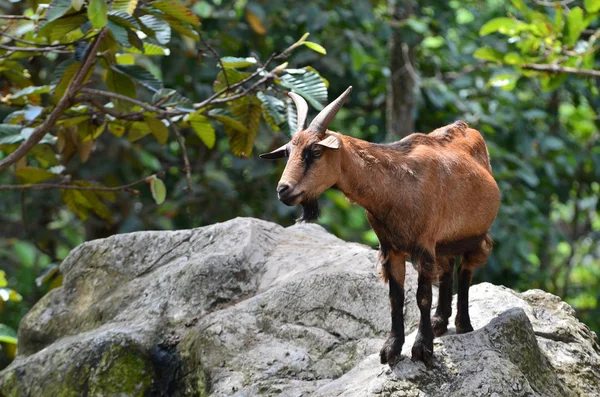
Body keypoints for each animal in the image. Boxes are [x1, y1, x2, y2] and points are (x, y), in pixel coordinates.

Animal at [260, 88, 500, 366]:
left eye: (316, 152)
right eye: (288, 152)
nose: (283, 190)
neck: (394, 185)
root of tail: (467, 128)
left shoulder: (424, 244)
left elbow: (422, 296)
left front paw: (422, 349)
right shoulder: (391, 248)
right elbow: (396, 298)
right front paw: (391, 349)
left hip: (477, 235)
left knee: (465, 272)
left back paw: (463, 326)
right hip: (444, 242)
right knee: (448, 269)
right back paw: (440, 324)